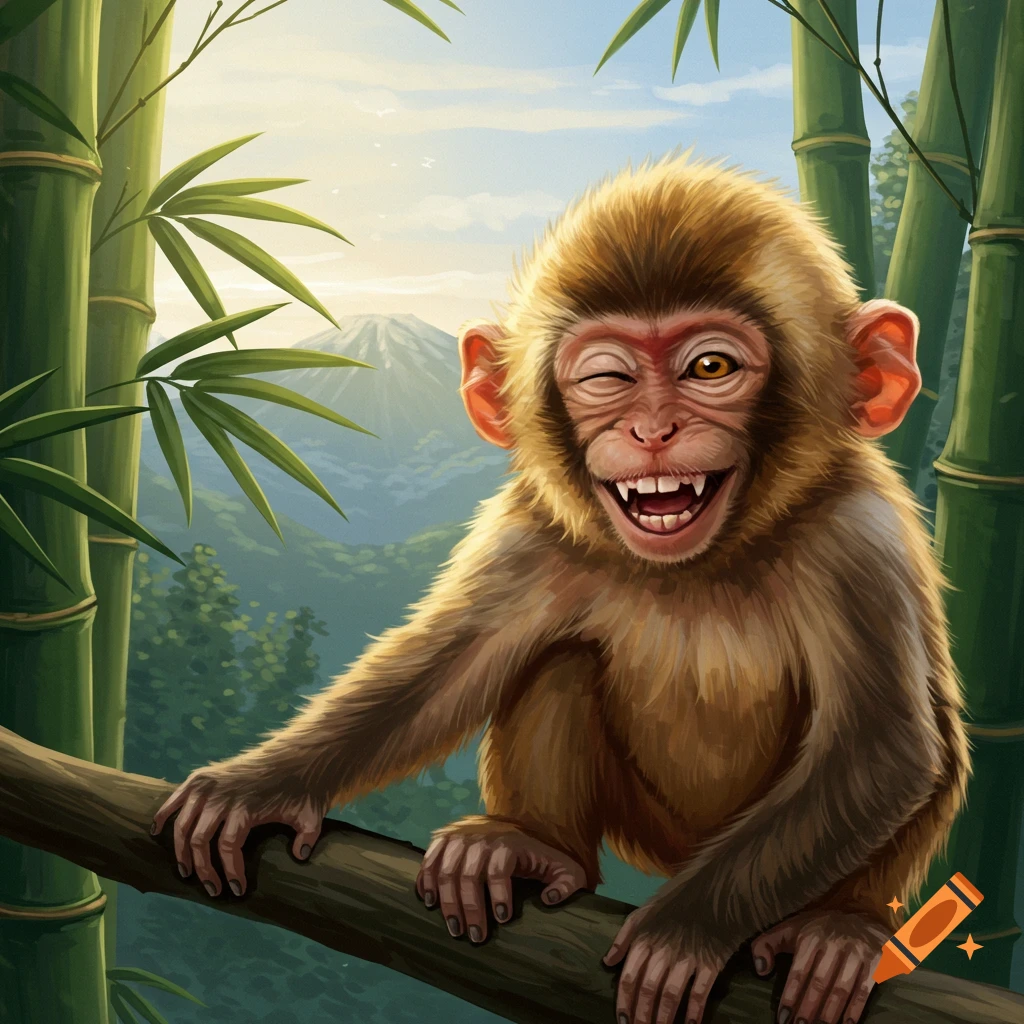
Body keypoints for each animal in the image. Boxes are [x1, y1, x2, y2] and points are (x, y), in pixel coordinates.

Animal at [154, 154, 968, 1024]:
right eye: (608, 376)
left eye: (710, 368)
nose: (652, 429)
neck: (703, 564)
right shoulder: (536, 528)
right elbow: (445, 673)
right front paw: (263, 785)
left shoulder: (858, 539)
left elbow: (881, 749)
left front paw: (684, 929)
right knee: (559, 659)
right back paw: (531, 847)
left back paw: (838, 930)